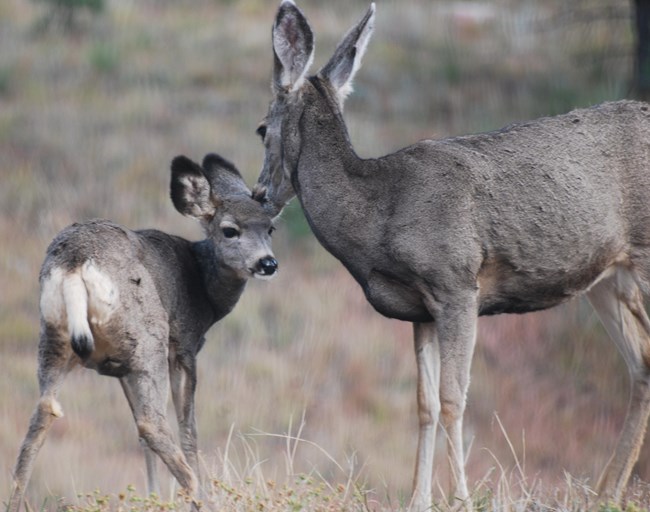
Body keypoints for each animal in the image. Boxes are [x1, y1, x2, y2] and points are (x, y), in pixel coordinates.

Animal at [8, 153, 276, 512]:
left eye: (270, 227)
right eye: (230, 230)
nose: (268, 263)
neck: (204, 287)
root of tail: (76, 262)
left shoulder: (120, 366)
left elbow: (139, 433)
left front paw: (151, 497)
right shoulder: (183, 346)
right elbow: (188, 428)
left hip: (55, 336)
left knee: (44, 412)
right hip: (149, 336)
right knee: (153, 422)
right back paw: (197, 496)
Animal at [254, 2, 650, 510]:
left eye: (262, 128)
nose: (259, 194)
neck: (377, 212)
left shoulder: (457, 283)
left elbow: (453, 399)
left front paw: (460, 498)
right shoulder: (418, 309)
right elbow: (423, 404)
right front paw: (417, 499)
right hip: (606, 278)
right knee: (641, 363)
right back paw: (606, 492)